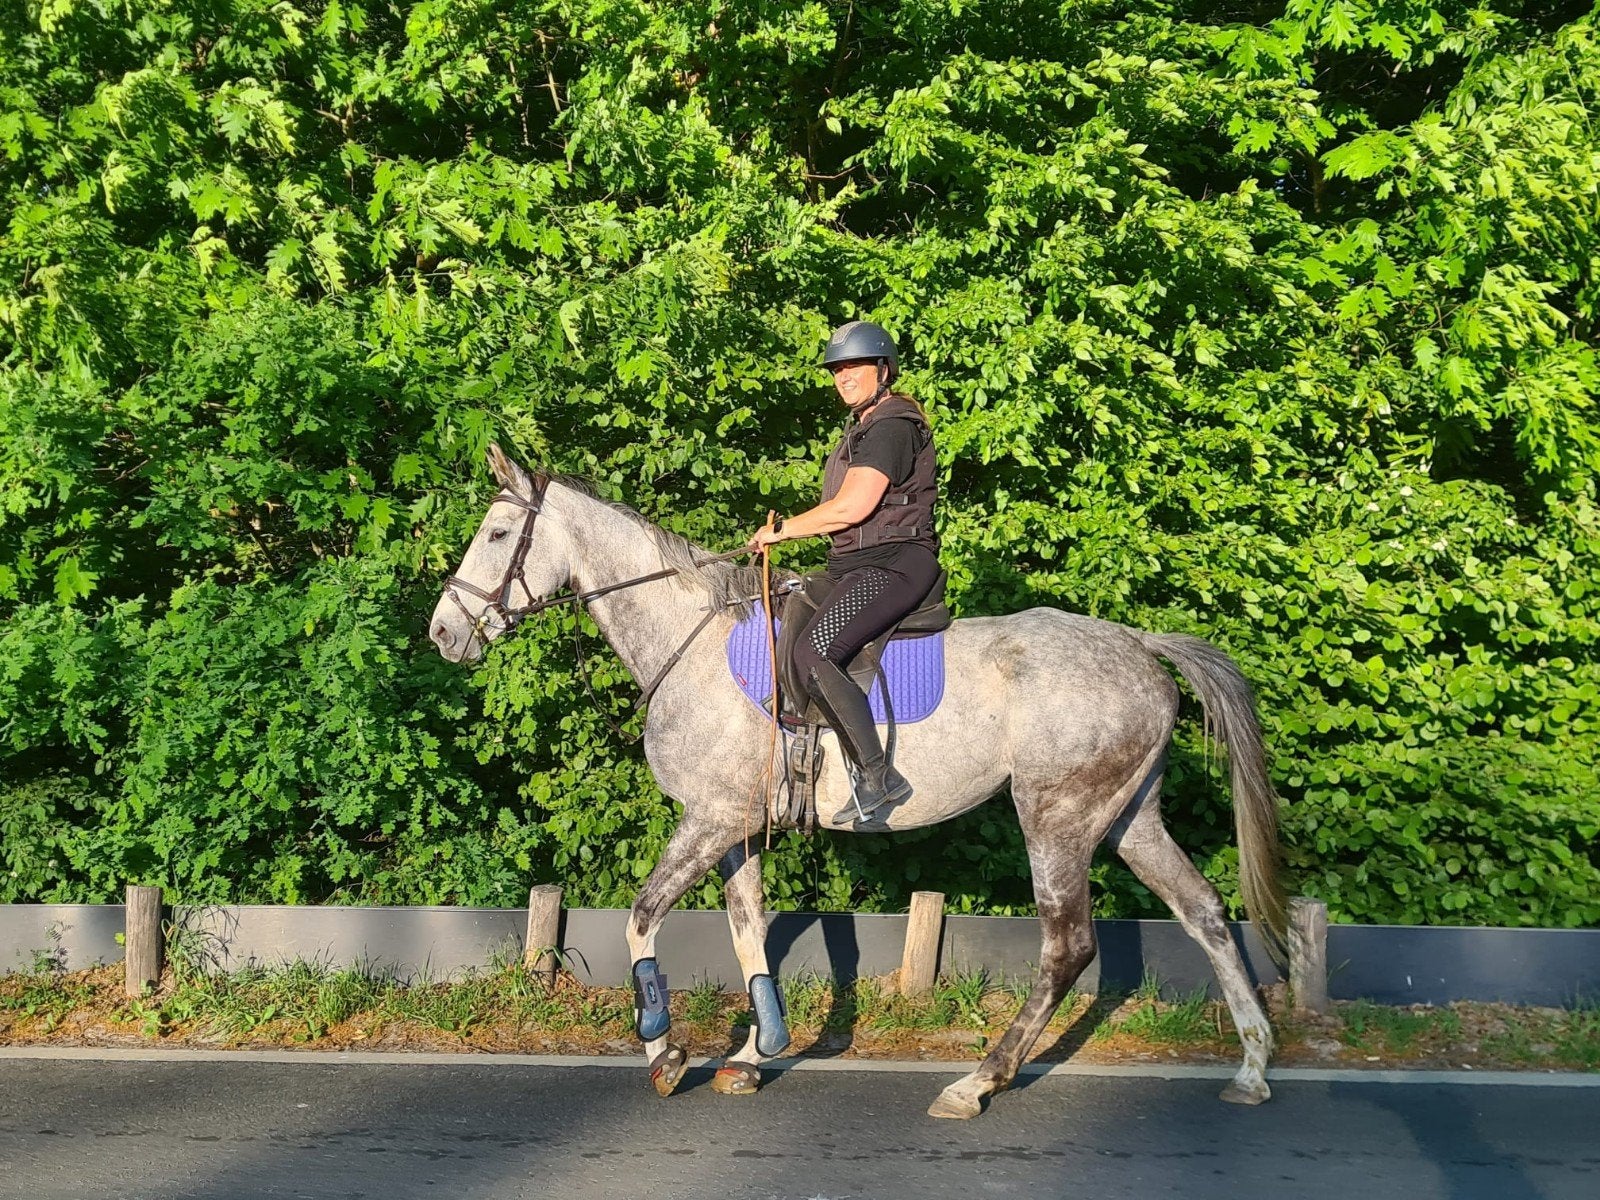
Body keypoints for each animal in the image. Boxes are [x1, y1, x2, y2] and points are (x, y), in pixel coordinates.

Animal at [429, 443, 1287, 1119]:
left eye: (498, 533)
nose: (442, 633)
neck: (693, 643)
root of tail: (1141, 645)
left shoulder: (709, 820)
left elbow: (642, 921)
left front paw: (666, 1055)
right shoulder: (736, 829)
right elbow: (749, 933)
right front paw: (756, 1053)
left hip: (1057, 817)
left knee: (1067, 946)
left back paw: (977, 1082)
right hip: (1129, 815)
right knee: (1204, 912)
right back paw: (1251, 1069)